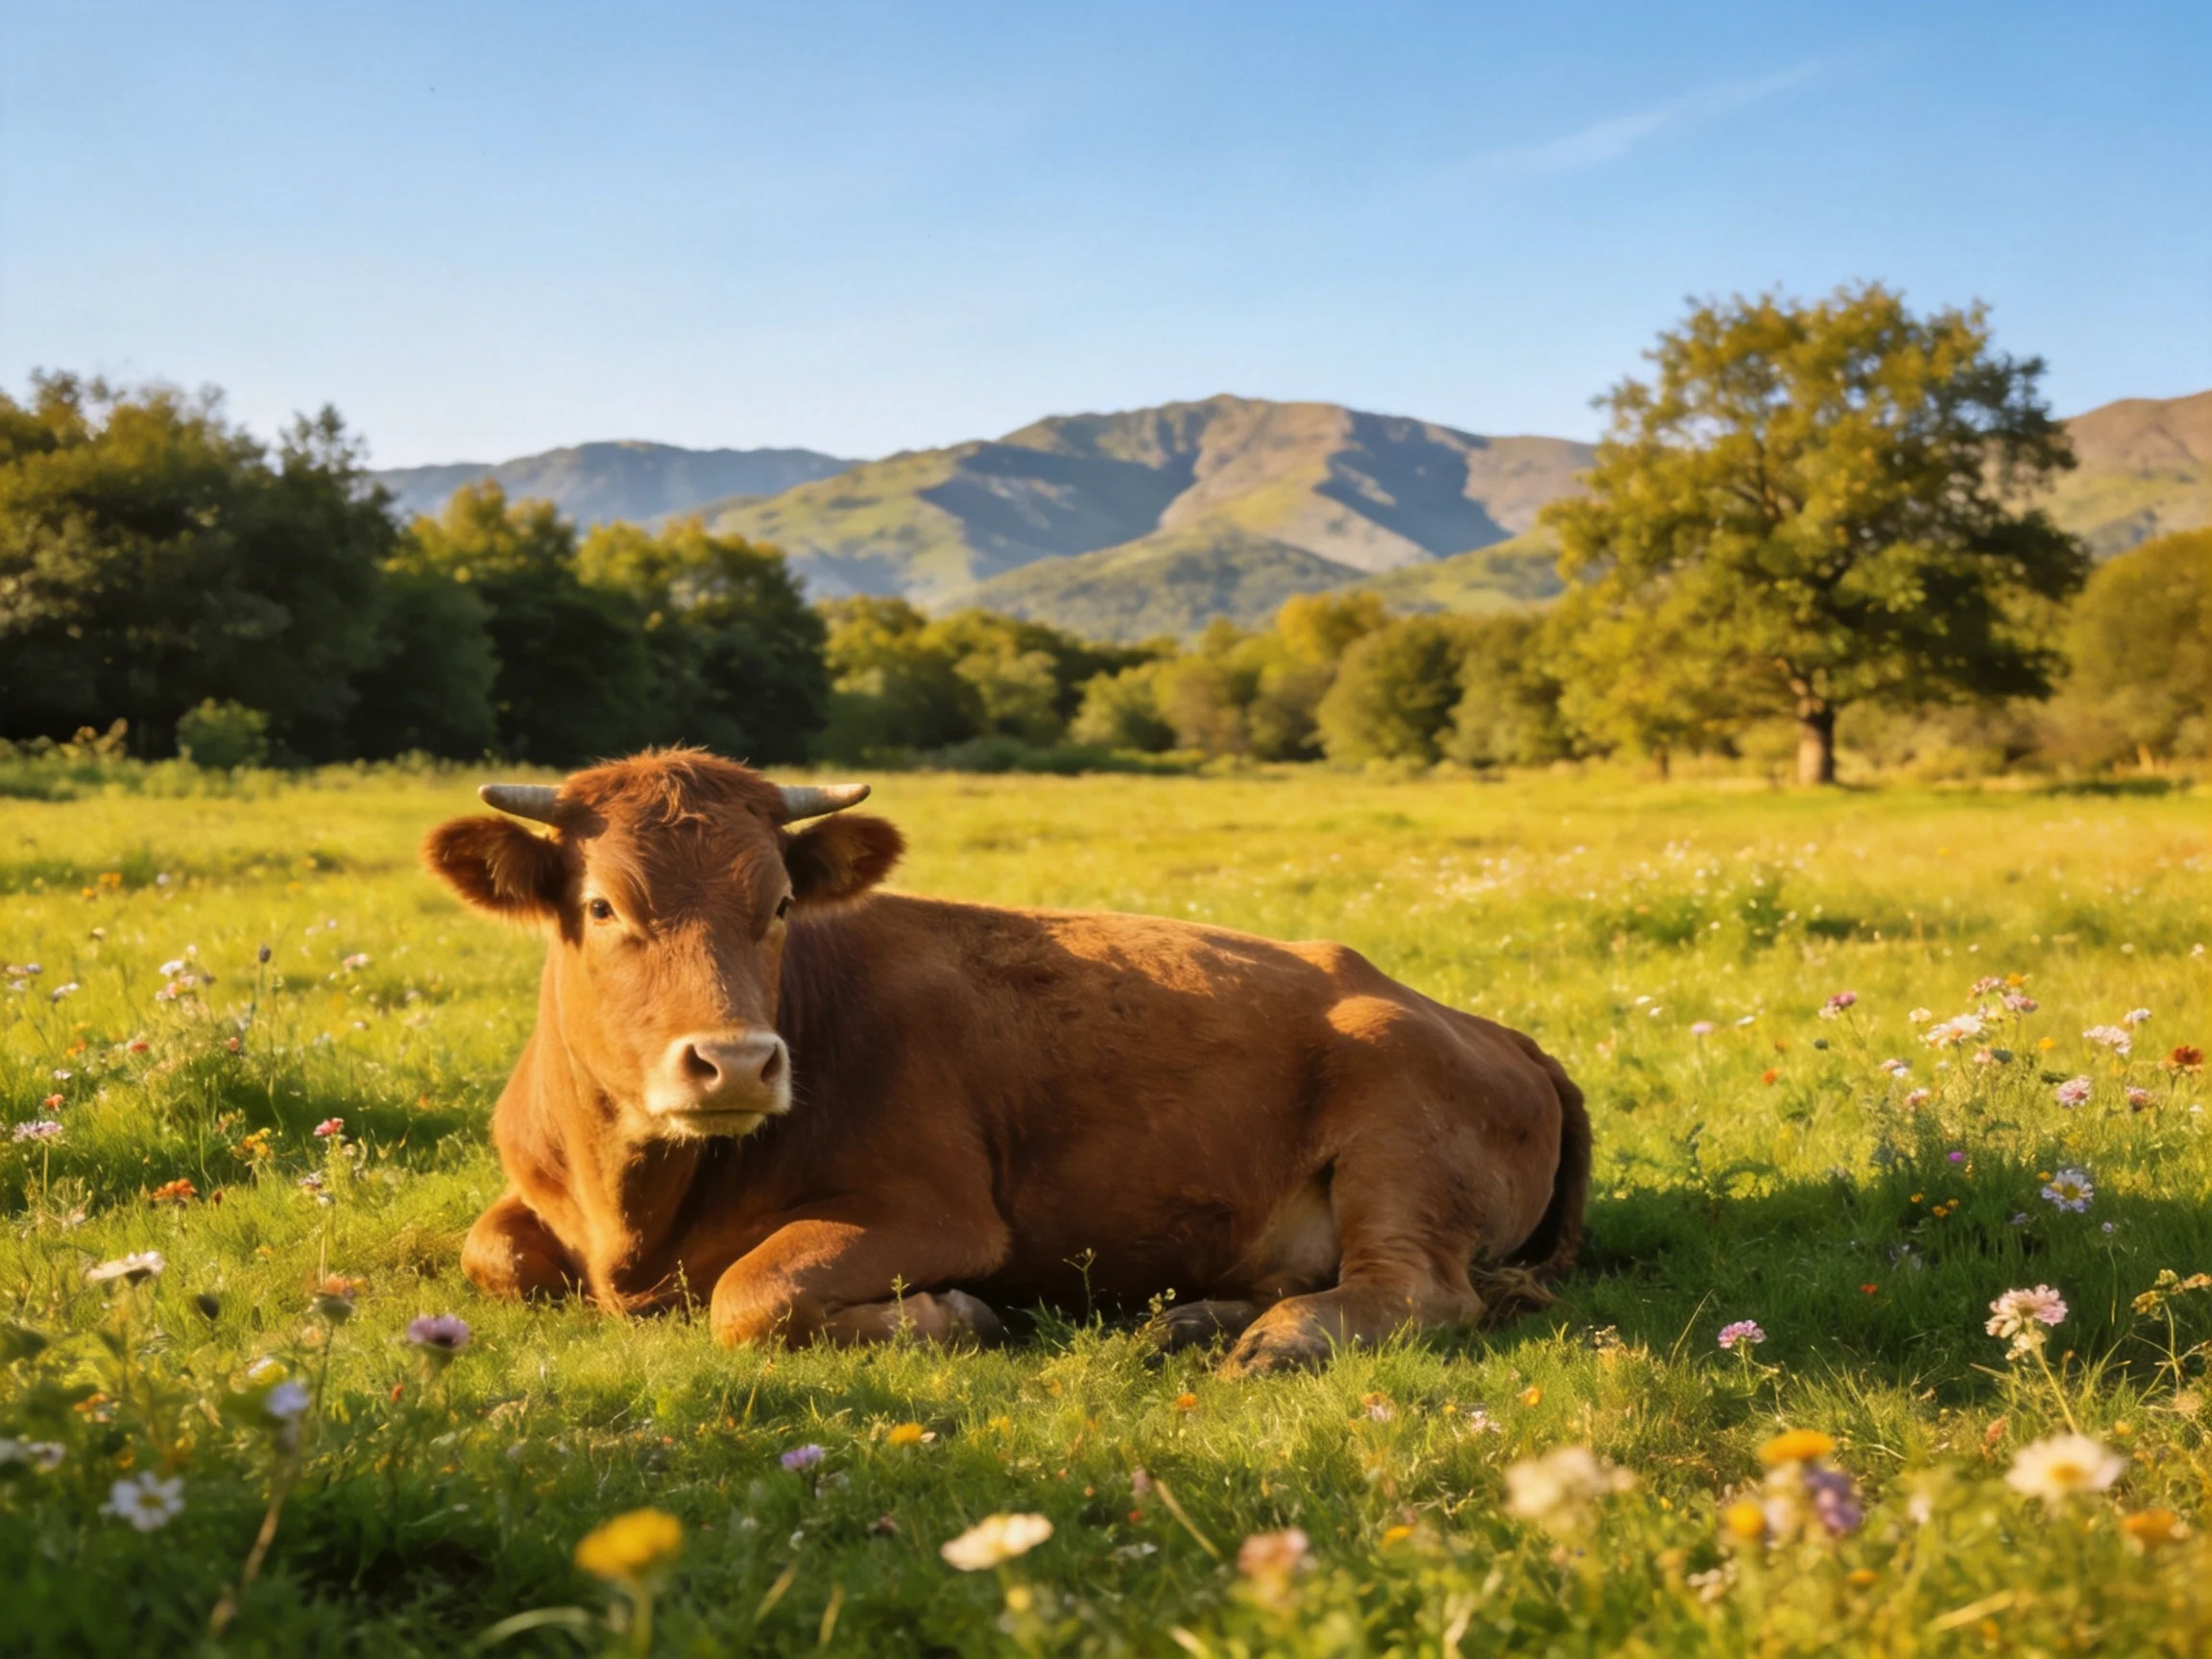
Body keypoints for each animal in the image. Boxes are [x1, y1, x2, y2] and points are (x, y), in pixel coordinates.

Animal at [425, 750, 1588, 1374]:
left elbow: (750, 1293)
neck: (634, 1217)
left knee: (1417, 1290)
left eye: (782, 905)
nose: (738, 1064)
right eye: (602, 906)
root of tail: (1493, 1028)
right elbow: (492, 1251)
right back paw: (1185, 1320)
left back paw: (1280, 1339)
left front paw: (950, 1318)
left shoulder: (938, 1211)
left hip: (1400, 1131)